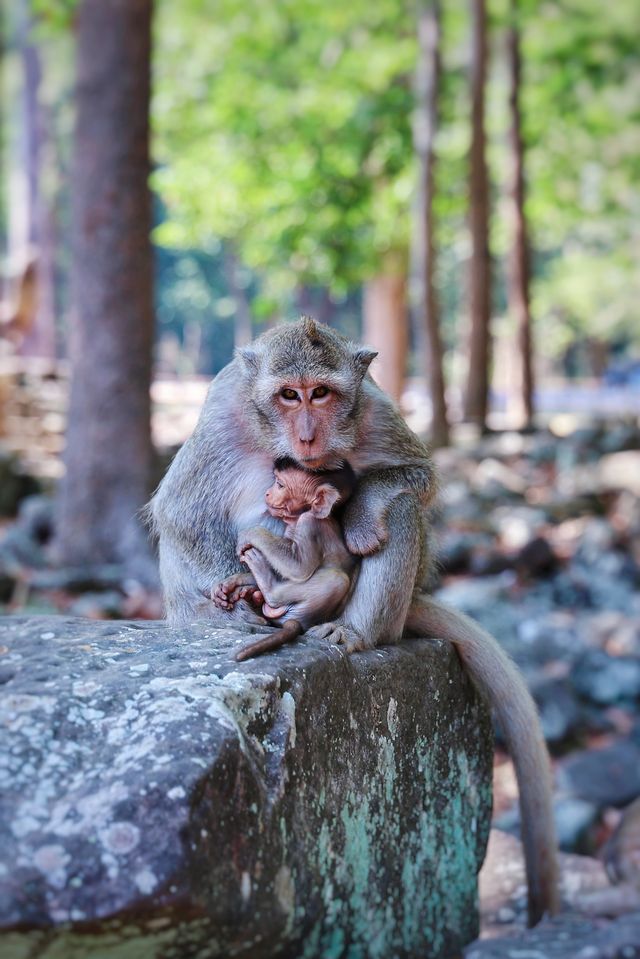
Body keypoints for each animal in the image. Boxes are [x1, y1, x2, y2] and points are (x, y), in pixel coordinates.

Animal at [214, 462, 356, 664]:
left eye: (280, 485)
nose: (267, 493)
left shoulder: (308, 523)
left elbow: (298, 568)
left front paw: (251, 534)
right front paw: (233, 583)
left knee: (337, 579)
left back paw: (268, 587)